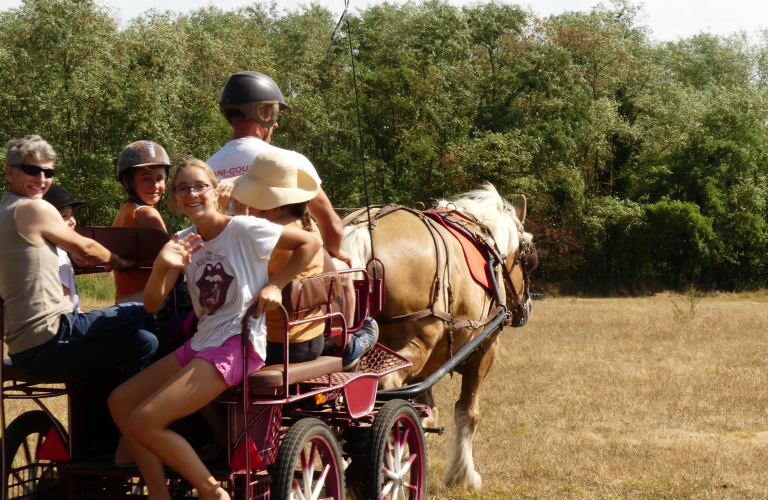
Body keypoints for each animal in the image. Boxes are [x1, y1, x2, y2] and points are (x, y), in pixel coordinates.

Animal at [342, 184, 536, 488]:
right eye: (529, 260)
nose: (526, 308)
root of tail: (361, 229)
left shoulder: (427, 370)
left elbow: (427, 411)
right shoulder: (485, 350)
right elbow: (468, 412)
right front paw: (463, 475)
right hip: (412, 345)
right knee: (383, 392)